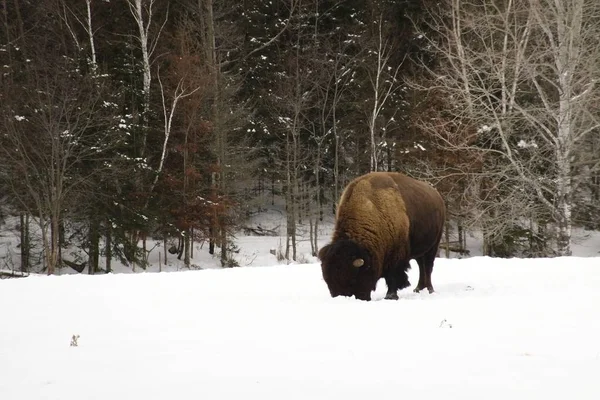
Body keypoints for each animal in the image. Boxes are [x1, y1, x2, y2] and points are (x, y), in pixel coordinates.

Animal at [318, 171, 446, 300]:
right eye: (327, 281)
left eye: (351, 280)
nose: (340, 297)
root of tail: (438, 197)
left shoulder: (396, 257)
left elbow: (392, 277)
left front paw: (391, 296)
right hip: (420, 250)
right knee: (421, 266)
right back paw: (418, 289)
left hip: (433, 246)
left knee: (428, 267)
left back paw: (429, 289)